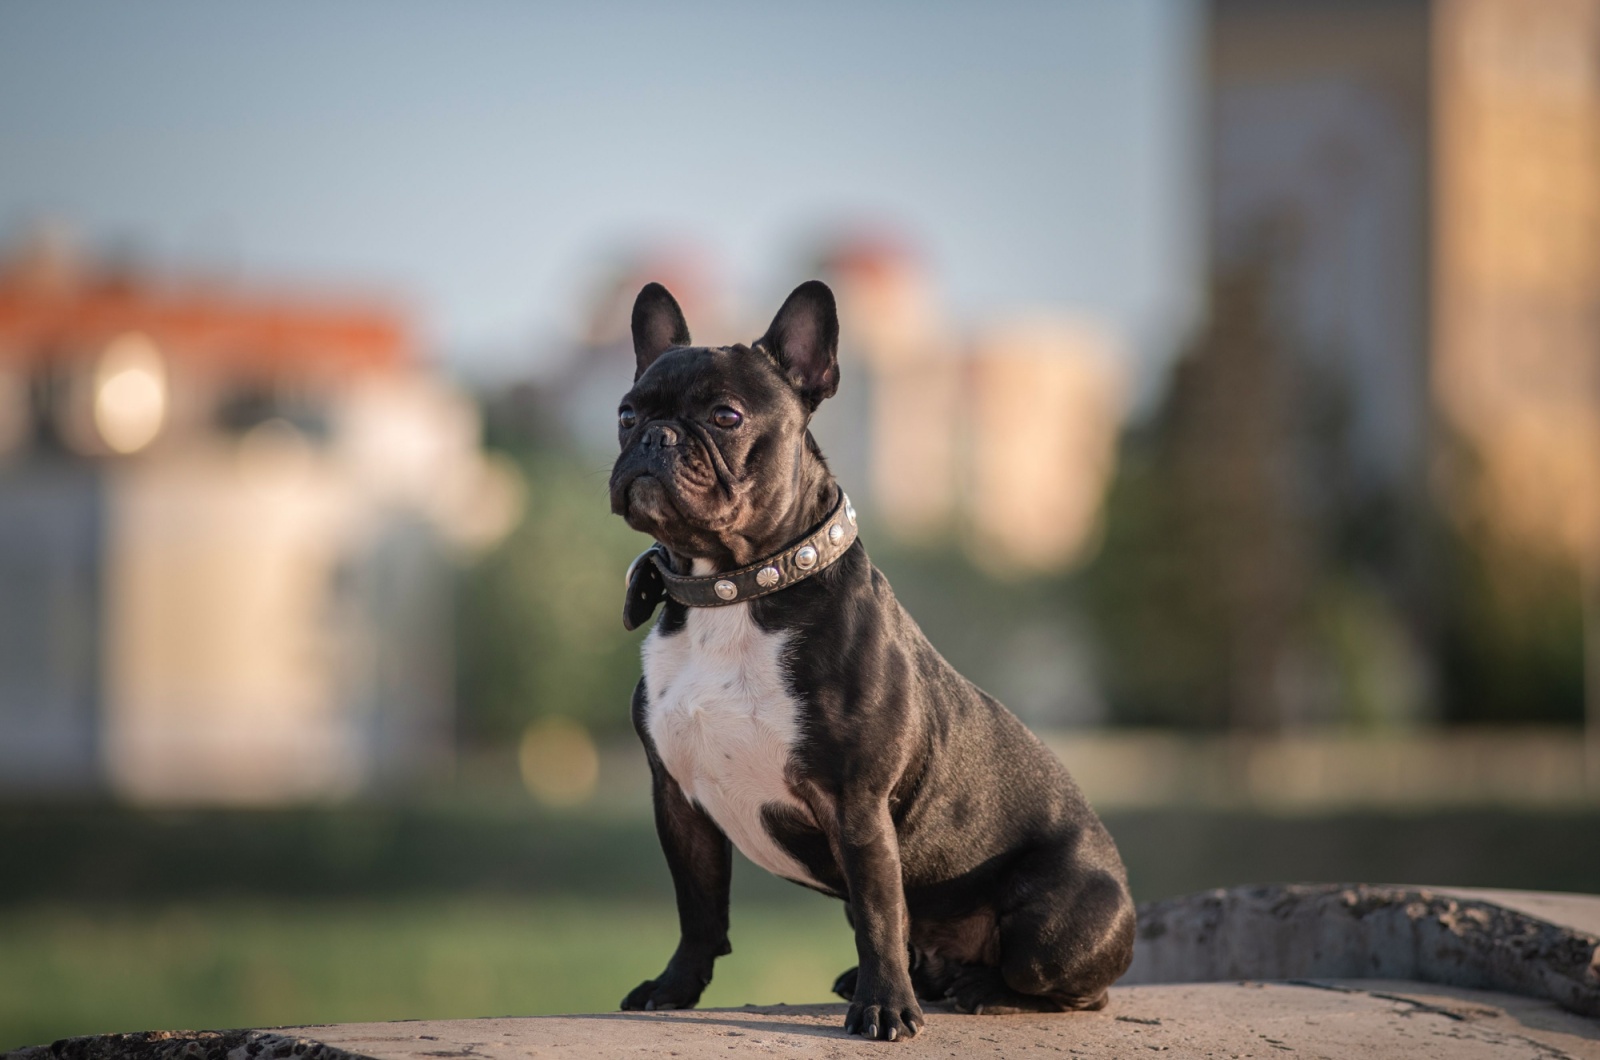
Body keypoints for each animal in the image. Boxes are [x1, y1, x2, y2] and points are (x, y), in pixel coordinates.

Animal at [601, 280, 1139, 1043]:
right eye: (626, 414)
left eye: (726, 416)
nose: (655, 436)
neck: (734, 590)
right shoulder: (679, 802)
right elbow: (699, 910)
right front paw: (674, 989)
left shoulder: (855, 801)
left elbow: (882, 914)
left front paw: (884, 1010)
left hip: (1055, 930)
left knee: (1072, 989)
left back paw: (976, 988)